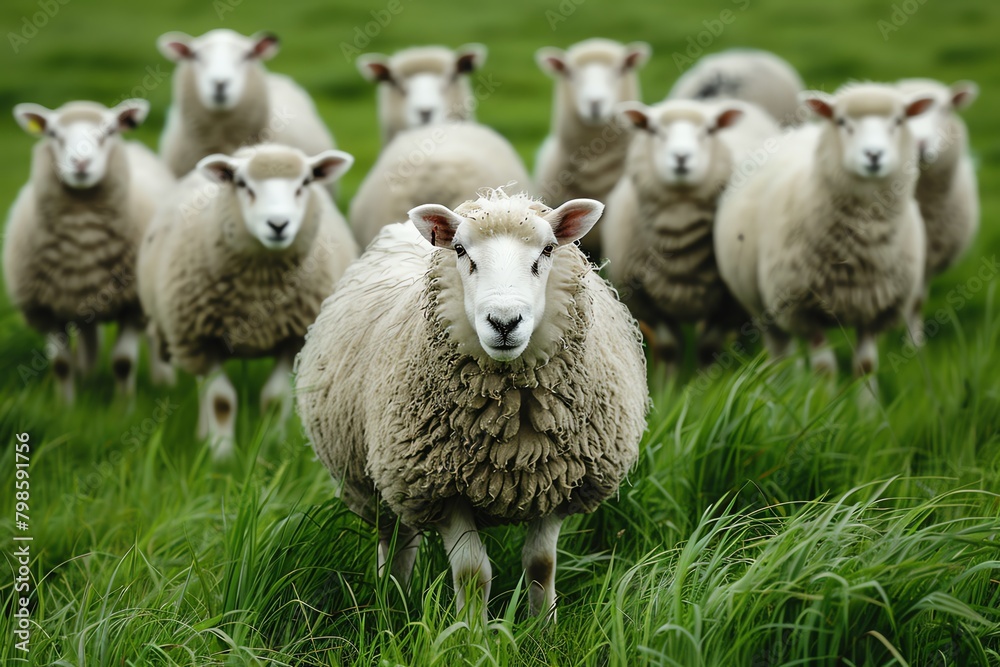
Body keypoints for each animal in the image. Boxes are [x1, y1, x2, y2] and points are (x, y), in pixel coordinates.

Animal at [4, 99, 175, 402]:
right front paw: (66, 406)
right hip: (79, 300)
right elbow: (61, 365)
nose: (80, 163)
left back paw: (163, 380)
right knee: (88, 337)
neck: (82, 237)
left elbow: (123, 362)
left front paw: (123, 406)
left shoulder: (133, 305)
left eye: (109, 132)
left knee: (154, 337)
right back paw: (87, 375)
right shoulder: (46, 310)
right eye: (53, 134)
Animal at [138, 143, 358, 458]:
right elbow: (220, 400)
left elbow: (274, 400)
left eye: (304, 183)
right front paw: (221, 453)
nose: (278, 224)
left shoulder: (293, 339)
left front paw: (268, 449)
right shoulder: (201, 339)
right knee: (203, 387)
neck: (259, 288)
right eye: (242, 184)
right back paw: (203, 434)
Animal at [296, 190, 648, 619]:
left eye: (548, 249)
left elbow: (541, 565)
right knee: (396, 541)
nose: (504, 321)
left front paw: (543, 625)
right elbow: (472, 573)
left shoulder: (560, 482)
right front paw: (470, 630)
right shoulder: (440, 488)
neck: (512, 428)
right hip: (383, 480)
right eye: (461, 251)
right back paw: (392, 604)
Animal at [601, 99, 781, 368]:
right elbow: (668, 348)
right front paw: (668, 381)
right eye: (654, 130)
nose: (681, 157)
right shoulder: (644, 302)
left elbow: (708, 347)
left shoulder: (729, 305)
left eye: (708, 131)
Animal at [714, 83, 936, 379]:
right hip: (759, 304)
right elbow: (824, 369)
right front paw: (821, 393)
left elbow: (865, 366)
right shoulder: (803, 310)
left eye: (898, 121)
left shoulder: (875, 310)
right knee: (779, 352)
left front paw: (866, 394)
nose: (874, 155)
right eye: (841, 121)